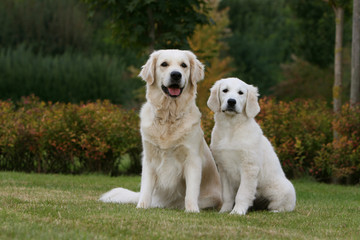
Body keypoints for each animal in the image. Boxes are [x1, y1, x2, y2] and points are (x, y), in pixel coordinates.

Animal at [99, 49, 222, 212]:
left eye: (184, 65)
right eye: (164, 64)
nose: (176, 75)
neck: (169, 116)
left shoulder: (192, 159)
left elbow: (191, 190)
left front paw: (192, 210)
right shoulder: (149, 158)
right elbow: (145, 187)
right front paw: (142, 206)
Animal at [207, 78, 294, 215]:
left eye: (241, 93)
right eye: (225, 90)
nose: (231, 101)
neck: (231, 127)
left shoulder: (249, 167)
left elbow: (242, 194)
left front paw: (237, 212)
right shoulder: (224, 168)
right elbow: (227, 195)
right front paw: (224, 211)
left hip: (284, 189)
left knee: (284, 206)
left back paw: (275, 211)